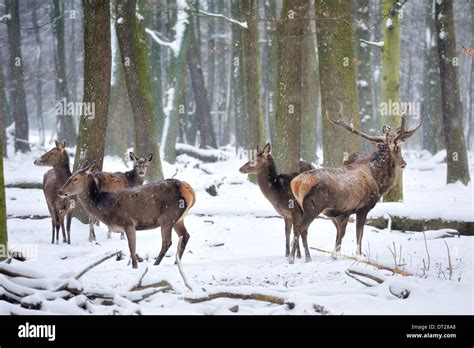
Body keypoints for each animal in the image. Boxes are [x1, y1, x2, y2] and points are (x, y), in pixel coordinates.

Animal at [58, 161, 195, 270]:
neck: (104, 206)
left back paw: (156, 264)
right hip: (178, 219)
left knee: (167, 242)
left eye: (75, 179)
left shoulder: (128, 222)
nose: (60, 191)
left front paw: (135, 267)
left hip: (167, 217)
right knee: (185, 235)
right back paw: (176, 263)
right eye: (70, 176)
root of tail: (189, 190)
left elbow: (132, 248)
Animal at [286, 109, 420, 264]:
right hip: (312, 207)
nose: (404, 164)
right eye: (398, 148)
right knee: (300, 228)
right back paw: (292, 259)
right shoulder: (363, 207)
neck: (377, 180)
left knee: (302, 229)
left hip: (300, 207)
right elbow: (359, 234)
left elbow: (341, 235)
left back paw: (307, 257)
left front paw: (336, 255)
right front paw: (359, 255)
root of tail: (296, 183)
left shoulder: (344, 212)